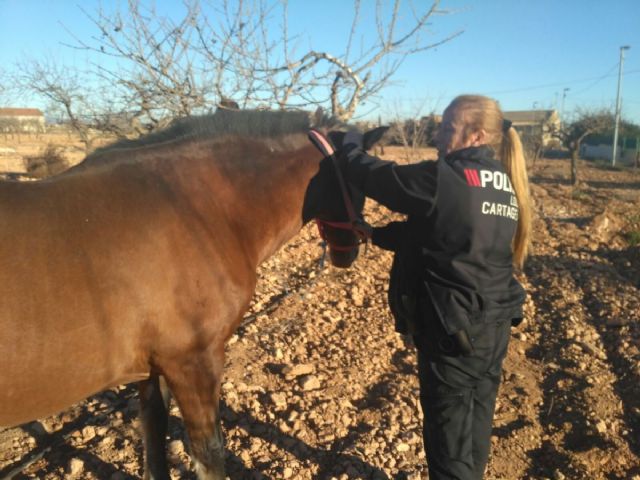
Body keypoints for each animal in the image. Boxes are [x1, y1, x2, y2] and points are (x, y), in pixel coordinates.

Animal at [0, 108, 386, 480]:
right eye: (361, 185)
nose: (348, 253)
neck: (195, 210)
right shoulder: (193, 363)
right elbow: (209, 455)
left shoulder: (154, 369)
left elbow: (154, 439)